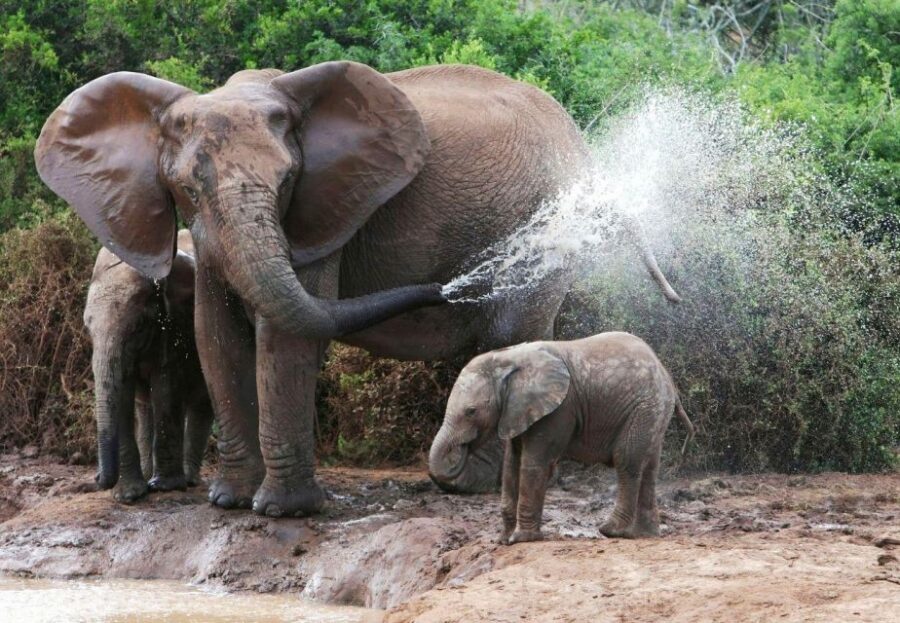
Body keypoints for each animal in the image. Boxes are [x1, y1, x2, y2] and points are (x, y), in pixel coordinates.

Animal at [85, 230, 214, 502]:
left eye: (138, 327)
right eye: (88, 329)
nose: (97, 478)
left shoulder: (175, 324)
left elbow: (165, 384)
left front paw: (165, 487)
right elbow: (123, 394)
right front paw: (129, 496)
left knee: (202, 403)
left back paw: (187, 480)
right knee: (145, 408)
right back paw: (148, 475)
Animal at [428, 332, 694, 543]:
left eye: (471, 411)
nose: (462, 449)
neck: (509, 358)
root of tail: (666, 375)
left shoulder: (558, 409)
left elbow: (534, 464)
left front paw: (521, 539)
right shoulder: (518, 411)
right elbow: (511, 465)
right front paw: (503, 540)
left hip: (645, 407)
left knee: (627, 461)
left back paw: (611, 530)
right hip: (654, 411)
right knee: (649, 466)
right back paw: (643, 534)